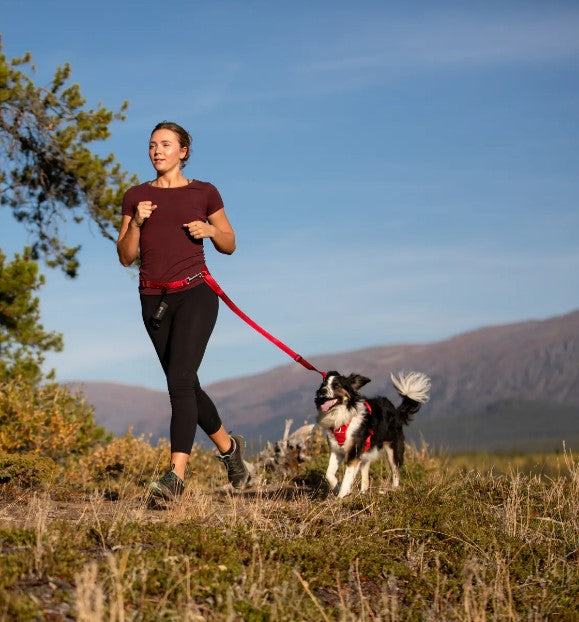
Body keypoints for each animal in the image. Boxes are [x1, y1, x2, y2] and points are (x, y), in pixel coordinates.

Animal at [314, 372, 432, 500]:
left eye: (336, 385)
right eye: (323, 384)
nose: (322, 391)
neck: (341, 414)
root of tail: (395, 411)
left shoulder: (354, 452)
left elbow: (347, 478)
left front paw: (341, 498)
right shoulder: (337, 450)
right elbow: (329, 474)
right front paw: (337, 489)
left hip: (393, 450)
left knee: (396, 473)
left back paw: (393, 491)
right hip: (366, 454)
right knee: (366, 479)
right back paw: (362, 495)